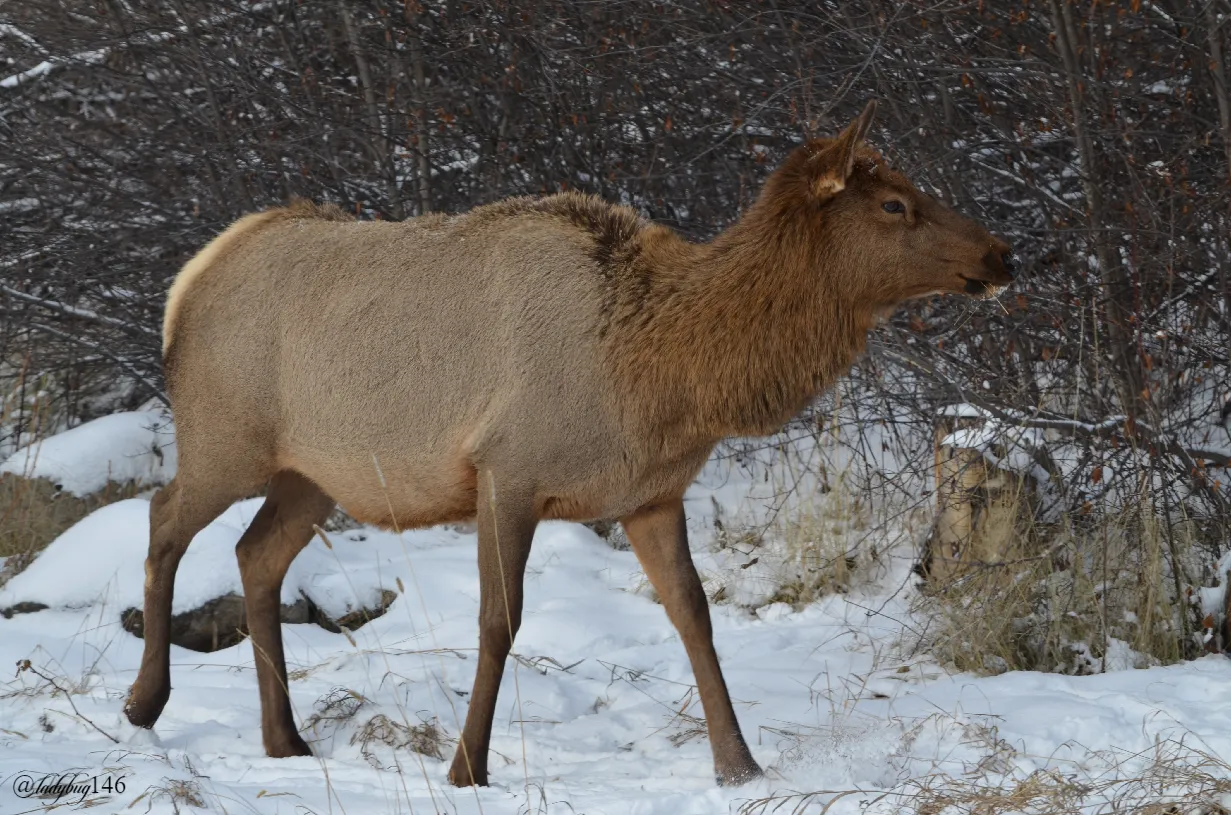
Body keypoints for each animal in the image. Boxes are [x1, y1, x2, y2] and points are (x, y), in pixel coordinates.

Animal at [123, 101, 1015, 787]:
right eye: (893, 204)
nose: (1000, 252)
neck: (662, 375)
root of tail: (188, 280)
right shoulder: (507, 471)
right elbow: (498, 620)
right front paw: (466, 767)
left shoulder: (651, 493)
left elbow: (693, 615)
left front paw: (738, 765)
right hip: (225, 435)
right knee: (163, 517)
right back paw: (143, 703)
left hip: (315, 471)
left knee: (255, 553)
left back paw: (284, 737)